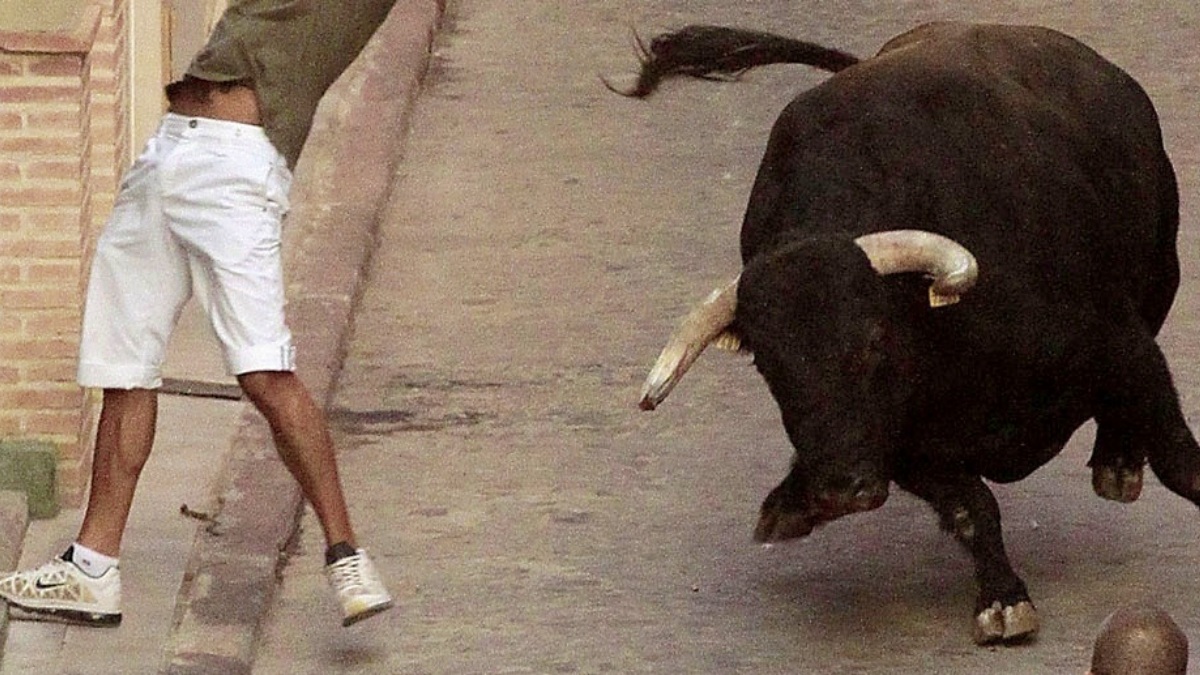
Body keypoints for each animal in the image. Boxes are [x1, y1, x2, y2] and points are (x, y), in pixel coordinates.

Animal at [624, 21, 1195, 638]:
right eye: (767, 366)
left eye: (875, 339)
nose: (839, 490)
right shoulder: (906, 447)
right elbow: (972, 508)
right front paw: (1003, 599)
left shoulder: (1119, 344)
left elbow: (1178, 458)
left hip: (1162, 275)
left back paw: (1117, 463)